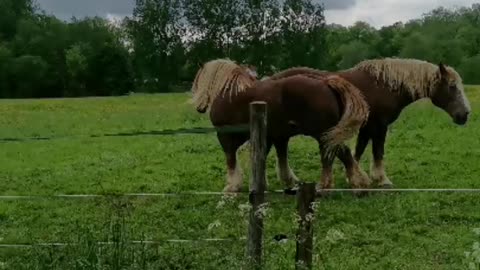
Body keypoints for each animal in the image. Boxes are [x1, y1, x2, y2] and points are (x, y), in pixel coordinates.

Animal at [191, 58, 372, 192]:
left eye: (198, 80)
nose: (199, 108)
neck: (230, 93)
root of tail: (326, 82)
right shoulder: (275, 136)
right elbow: (268, 157)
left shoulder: (225, 137)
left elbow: (231, 160)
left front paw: (232, 186)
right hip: (330, 134)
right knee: (343, 154)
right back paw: (357, 182)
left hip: (323, 134)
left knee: (331, 157)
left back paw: (327, 185)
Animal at [268, 57, 470, 190]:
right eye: (452, 86)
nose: (465, 114)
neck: (384, 86)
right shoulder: (379, 127)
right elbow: (377, 152)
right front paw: (381, 179)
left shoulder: (366, 128)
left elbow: (358, 151)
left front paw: (353, 177)